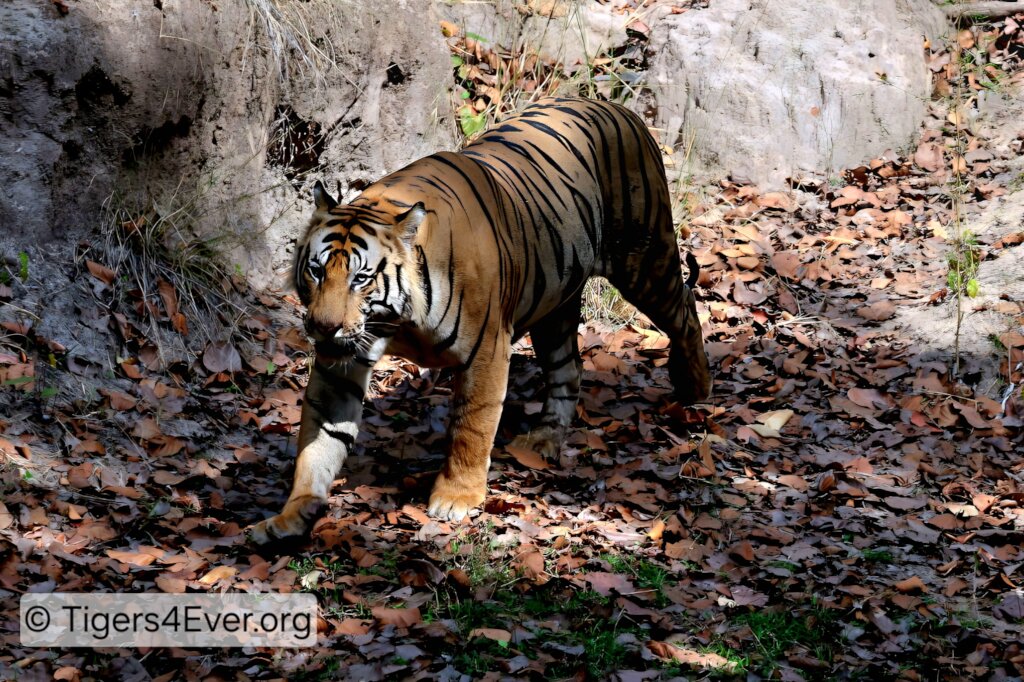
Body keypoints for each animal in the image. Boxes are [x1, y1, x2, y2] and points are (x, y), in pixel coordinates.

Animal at [248, 97, 711, 543]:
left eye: (360, 279)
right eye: (316, 271)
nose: (323, 327)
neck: (399, 319)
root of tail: (618, 108)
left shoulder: (486, 350)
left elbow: (472, 425)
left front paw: (456, 498)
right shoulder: (340, 364)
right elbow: (320, 438)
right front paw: (292, 513)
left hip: (644, 260)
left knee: (686, 310)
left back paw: (695, 387)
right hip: (555, 304)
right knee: (569, 369)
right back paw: (544, 439)